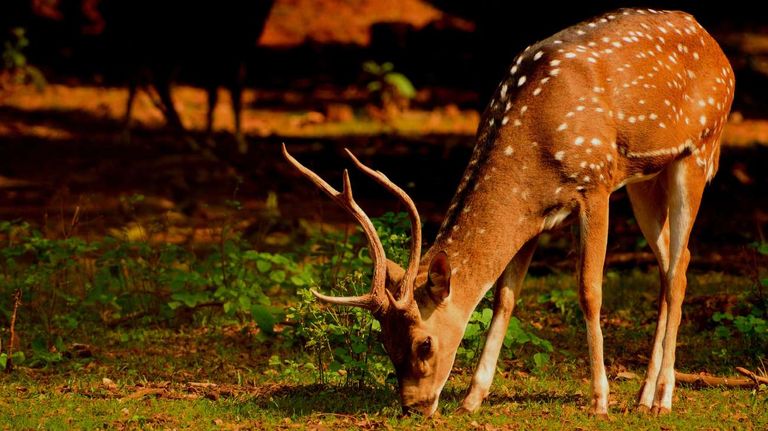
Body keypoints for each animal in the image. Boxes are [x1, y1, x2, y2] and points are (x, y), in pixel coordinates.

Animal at [283, 8, 734, 417]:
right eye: (384, 341)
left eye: (424, 343)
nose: (413, 406)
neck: (532, 151)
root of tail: (716, 46)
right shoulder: (534, 217)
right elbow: (504, 298)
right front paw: (472, 399)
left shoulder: (596, 183)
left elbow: (589, 291)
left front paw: (600, 401)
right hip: (645, 178)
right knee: (675, 263)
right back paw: (642, 396)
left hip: (698, 151)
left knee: (678, 272)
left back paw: (662, 398)